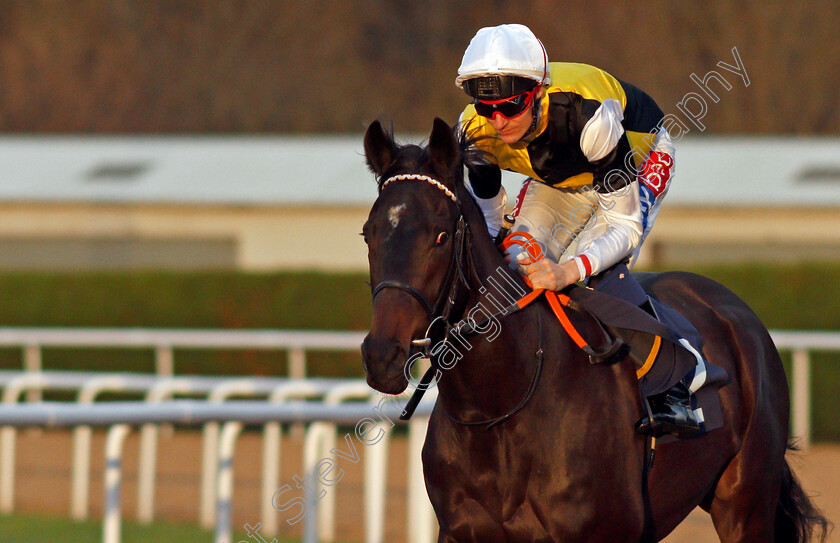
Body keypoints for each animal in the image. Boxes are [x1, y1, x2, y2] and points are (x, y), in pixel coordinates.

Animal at [360, 119, 828, 543]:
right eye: (369, 233)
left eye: (440, 236)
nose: (382, 355)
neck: (501, 406)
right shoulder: (459, 532)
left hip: (746, 504)